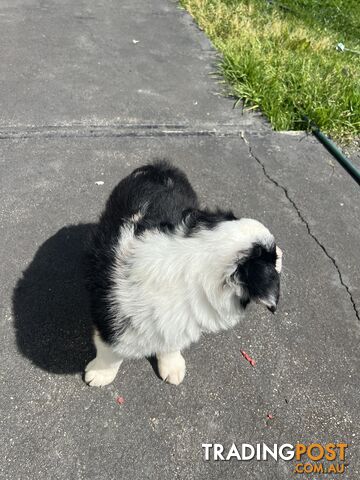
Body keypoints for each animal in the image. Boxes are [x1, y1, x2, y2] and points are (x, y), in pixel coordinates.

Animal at [84, 161, 282, 386]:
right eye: (272, 258)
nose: (282, 252)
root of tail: (159, 166)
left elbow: (169, 344)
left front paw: (172, 366)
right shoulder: (108, 314)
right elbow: (110, 351)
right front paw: (100, 373)